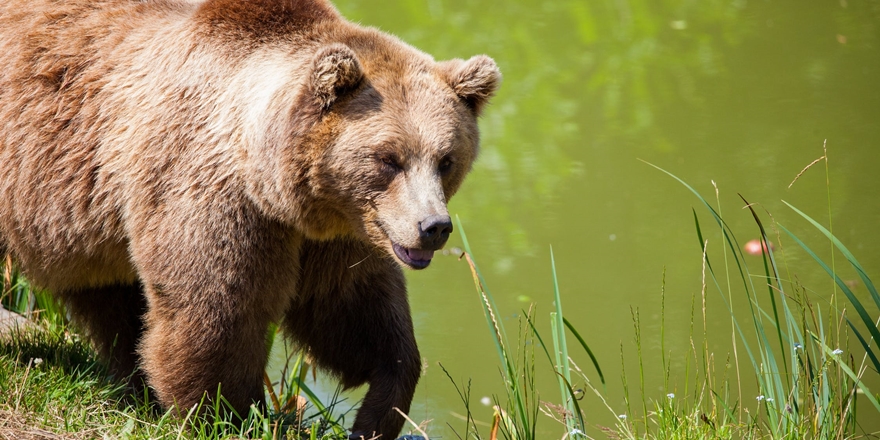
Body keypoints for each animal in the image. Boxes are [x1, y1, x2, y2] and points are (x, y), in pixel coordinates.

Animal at [0, 0, 498, 436]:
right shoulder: (211, 191)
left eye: (446, 159)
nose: (433, 227)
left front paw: (378, 410)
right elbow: (217, 309)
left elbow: (352, 309)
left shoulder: (338, 230)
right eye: (388, 159)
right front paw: (232, 414)